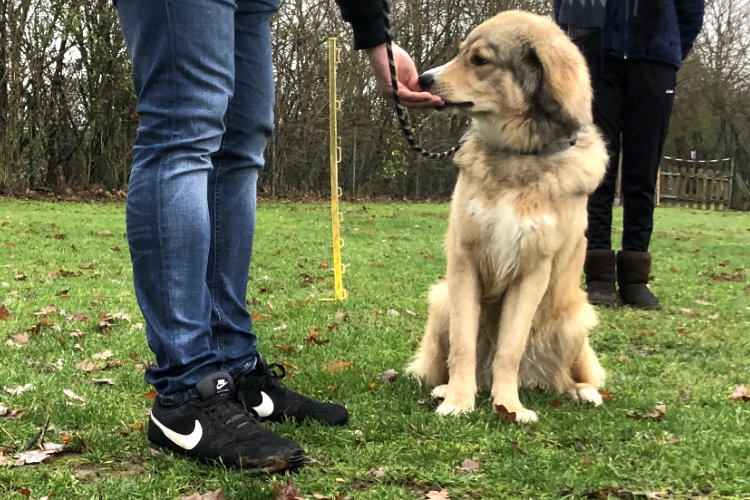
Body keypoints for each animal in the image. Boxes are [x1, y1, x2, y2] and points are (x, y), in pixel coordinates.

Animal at [412, 10, 612, 422]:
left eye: (479, 59)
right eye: (462, 53)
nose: (423, 79)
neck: (517, 155)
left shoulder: (533, 270)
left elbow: (510, 348)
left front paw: (508, 406)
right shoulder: (465, 261)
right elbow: (464, 345)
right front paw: (458, 400)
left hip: (577, 318)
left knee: (560, 377)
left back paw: (581, 391)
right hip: (440, 299)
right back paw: (446, 388)